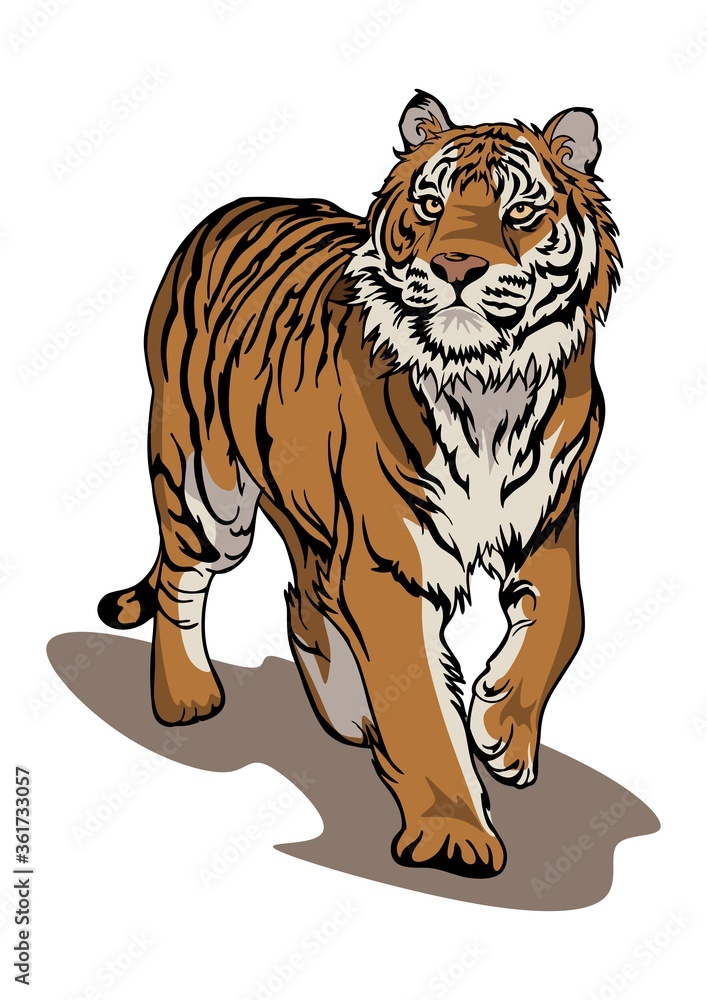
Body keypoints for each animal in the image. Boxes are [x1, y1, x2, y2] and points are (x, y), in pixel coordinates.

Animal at [98, 91, 620, 878]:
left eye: (520, 210)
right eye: (432, 204)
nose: (456, 264)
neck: (488, 388)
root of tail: (229, 208)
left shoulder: (549, 524)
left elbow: (565, 622)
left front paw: (501, 730)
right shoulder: (388, 561)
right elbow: (423, 706)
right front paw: (453, 835)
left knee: (307, 594)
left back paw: (348, 714)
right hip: (208, 488)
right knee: (183, 580)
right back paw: (187, 697)